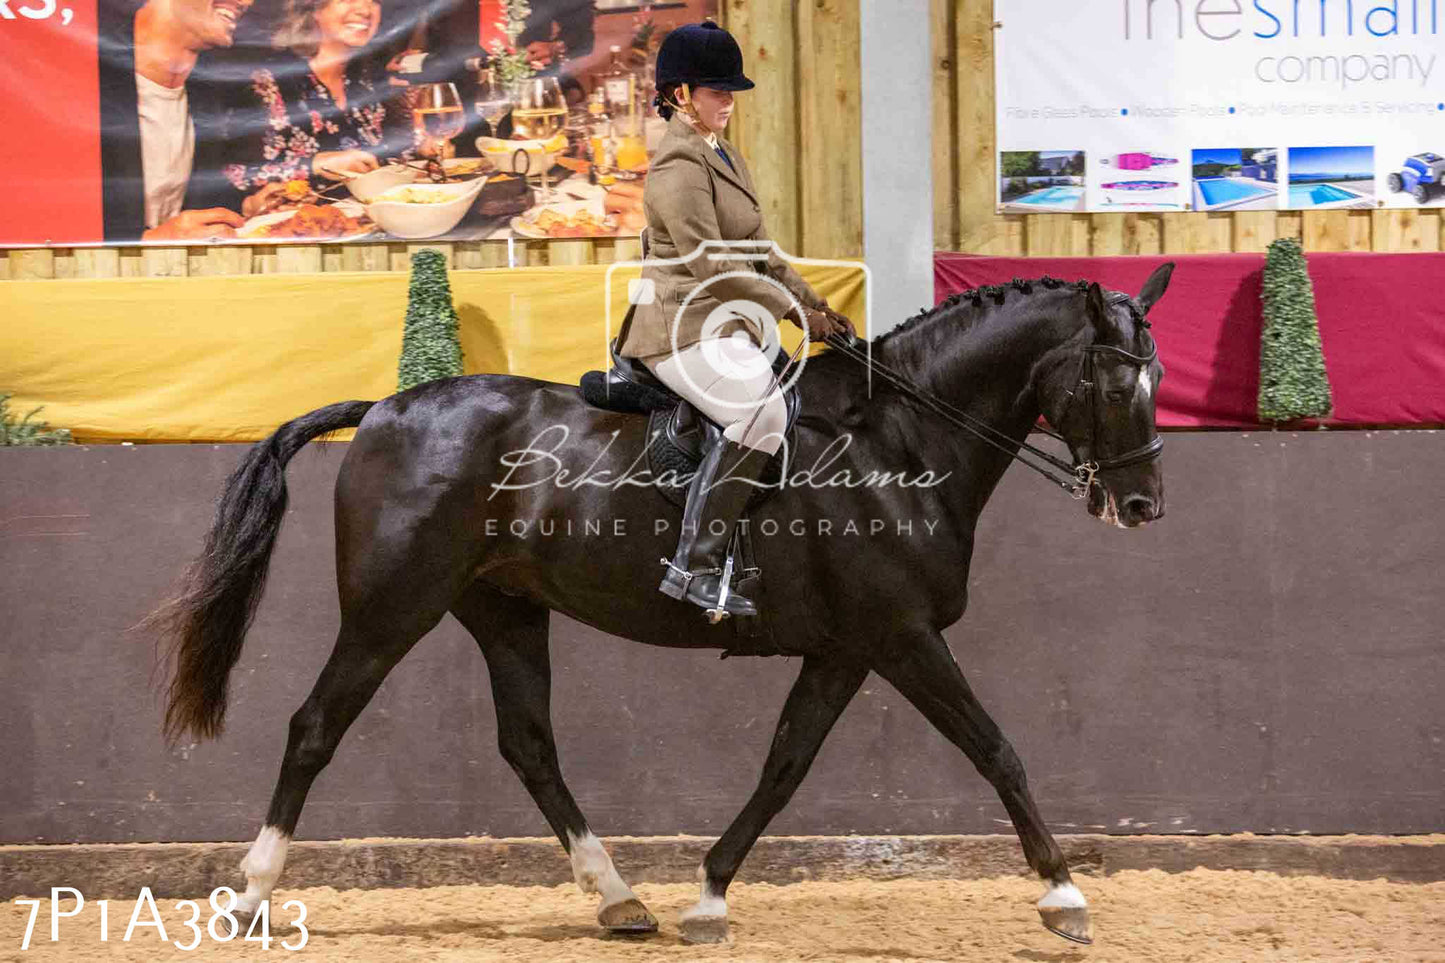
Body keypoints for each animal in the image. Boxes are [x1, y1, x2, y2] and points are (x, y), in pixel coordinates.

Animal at [155, 260, 1173, 936]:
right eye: (1113, 379)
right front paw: (1064, 894)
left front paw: (711, 892)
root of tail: (381, 409)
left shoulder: (847, 647)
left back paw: (620, 898)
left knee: (528, 743)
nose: (1140, 506)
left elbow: (785, 764)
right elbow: (995, 748)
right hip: (389, 607)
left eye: (1158, 377)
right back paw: (251, 894)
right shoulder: (903, 636)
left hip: (504, 610)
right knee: (315, 726)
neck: (898, 440)